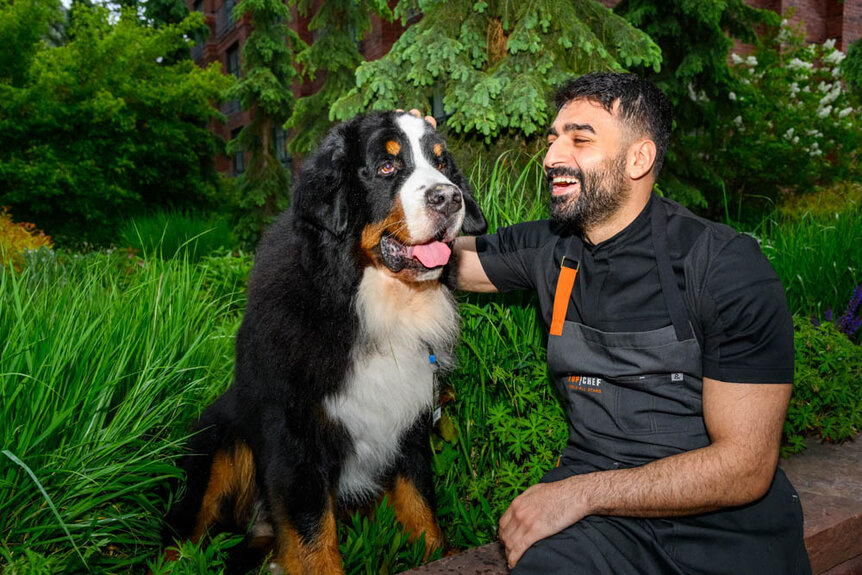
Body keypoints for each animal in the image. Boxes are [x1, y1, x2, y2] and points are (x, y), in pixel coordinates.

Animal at [162, 112, 486, 575]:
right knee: (181, 533)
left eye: (441, 164)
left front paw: (438, 555)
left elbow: (419, 503)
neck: (370, 304)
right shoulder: (295, 434)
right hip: (220, 444)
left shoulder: (409, 423)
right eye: (386, 166)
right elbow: (313, 535)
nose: (449, 197)